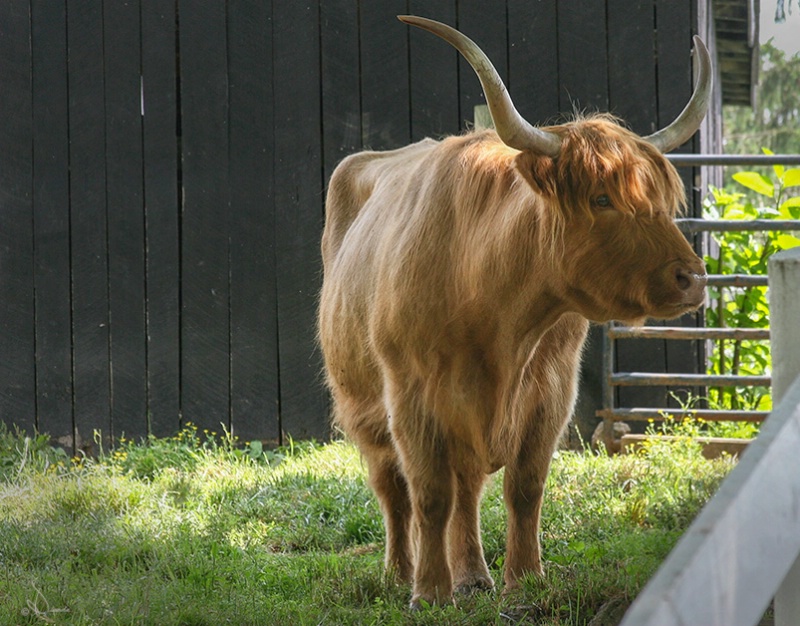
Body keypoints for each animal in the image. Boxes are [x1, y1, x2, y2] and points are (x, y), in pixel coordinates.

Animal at [316, 17, 708, 608]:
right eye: (601, 199)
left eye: (662, 201)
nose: (693, 279)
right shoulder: (412, 394)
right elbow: (429, 493)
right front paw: (430, 592)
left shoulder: (550, 390)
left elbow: (523, 487)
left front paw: (524, 580)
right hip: (362, 403)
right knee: (393, 488)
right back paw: (399, 573)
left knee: (467, 488)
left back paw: (473, 575)